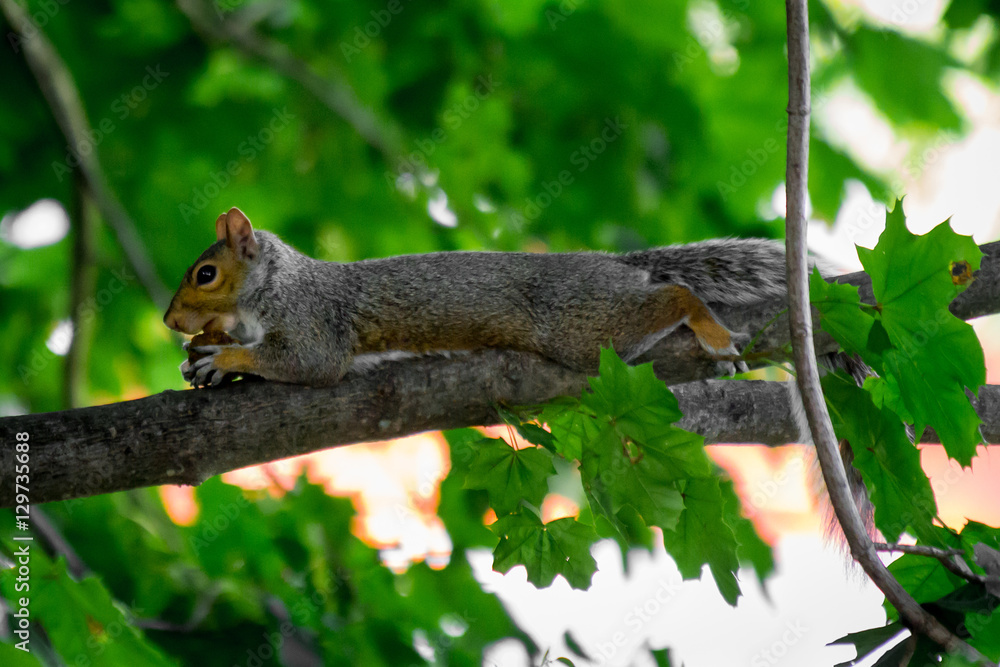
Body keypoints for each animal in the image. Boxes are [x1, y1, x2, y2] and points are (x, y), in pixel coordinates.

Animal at [163, 207, 796, 387]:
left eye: (205, 274)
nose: (169, 321)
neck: (275, 283)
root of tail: (612, 266)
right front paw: (205, 357)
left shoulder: (313, 319)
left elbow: (309, 363)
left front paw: (225, 356)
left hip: (585, 329)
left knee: (677, 295)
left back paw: (709, 328)